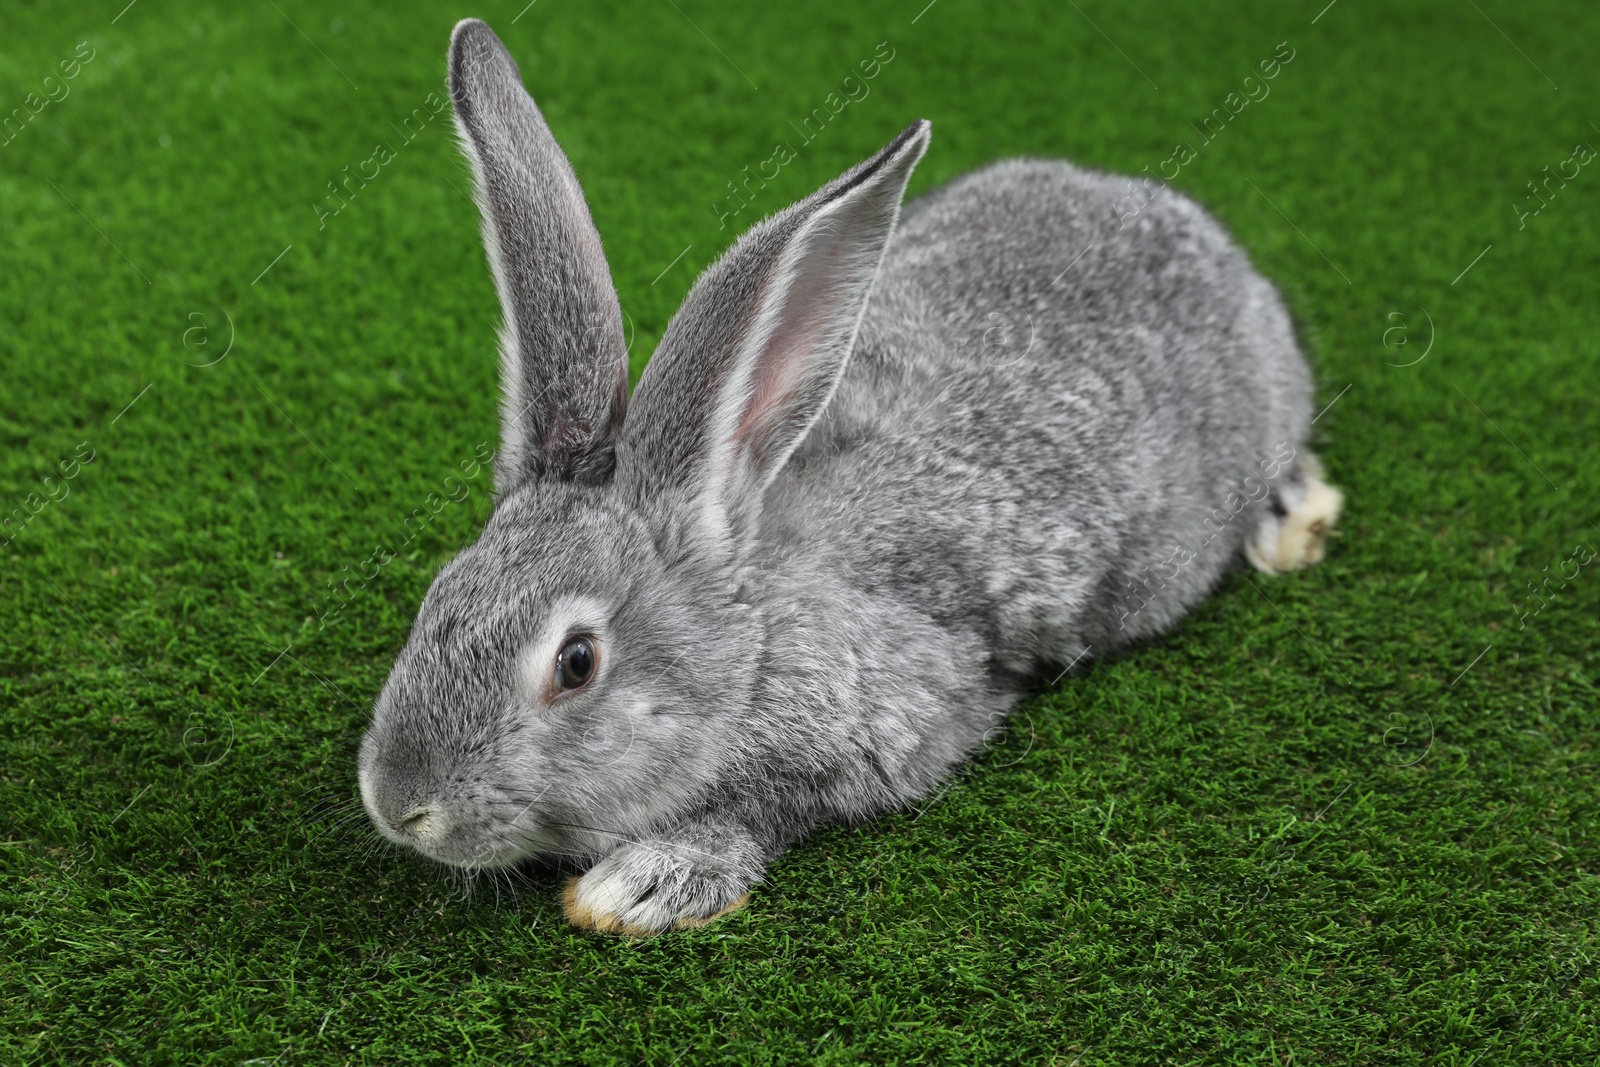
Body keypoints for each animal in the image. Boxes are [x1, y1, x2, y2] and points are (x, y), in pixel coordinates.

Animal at [360, 16, 1337, 934]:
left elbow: (763, 812)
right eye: (439, 593)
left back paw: (1292, 520)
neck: (755, 640)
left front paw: (642, 884)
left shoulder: (893, 720)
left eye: (576, 662)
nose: (399, 806)